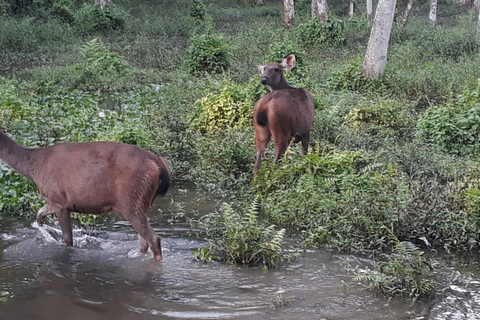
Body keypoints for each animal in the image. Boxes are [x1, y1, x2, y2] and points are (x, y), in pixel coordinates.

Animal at [0, 125, 171, 260]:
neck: (33, 168)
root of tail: (157, 163)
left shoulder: (60, 201)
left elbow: (68, 239)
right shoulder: (53, 201)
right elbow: (39, 214)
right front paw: (43, 229)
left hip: (130, 200)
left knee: (153, 239)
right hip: (143, 201)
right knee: (143, 242)